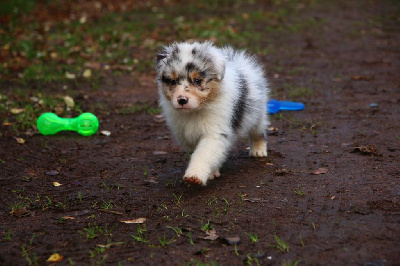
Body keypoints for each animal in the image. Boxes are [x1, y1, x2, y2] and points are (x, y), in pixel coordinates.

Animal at [155, 42, 270, 187]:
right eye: (173, 81)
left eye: (197, 81)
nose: (182, 100)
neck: (195, 111)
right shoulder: (185, 134)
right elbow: (200, 152)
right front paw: (211, 172)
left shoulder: (214, 133)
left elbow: (204, 154)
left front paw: (194, 176)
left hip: (257, 113)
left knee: (257, 131)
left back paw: (258, 150)